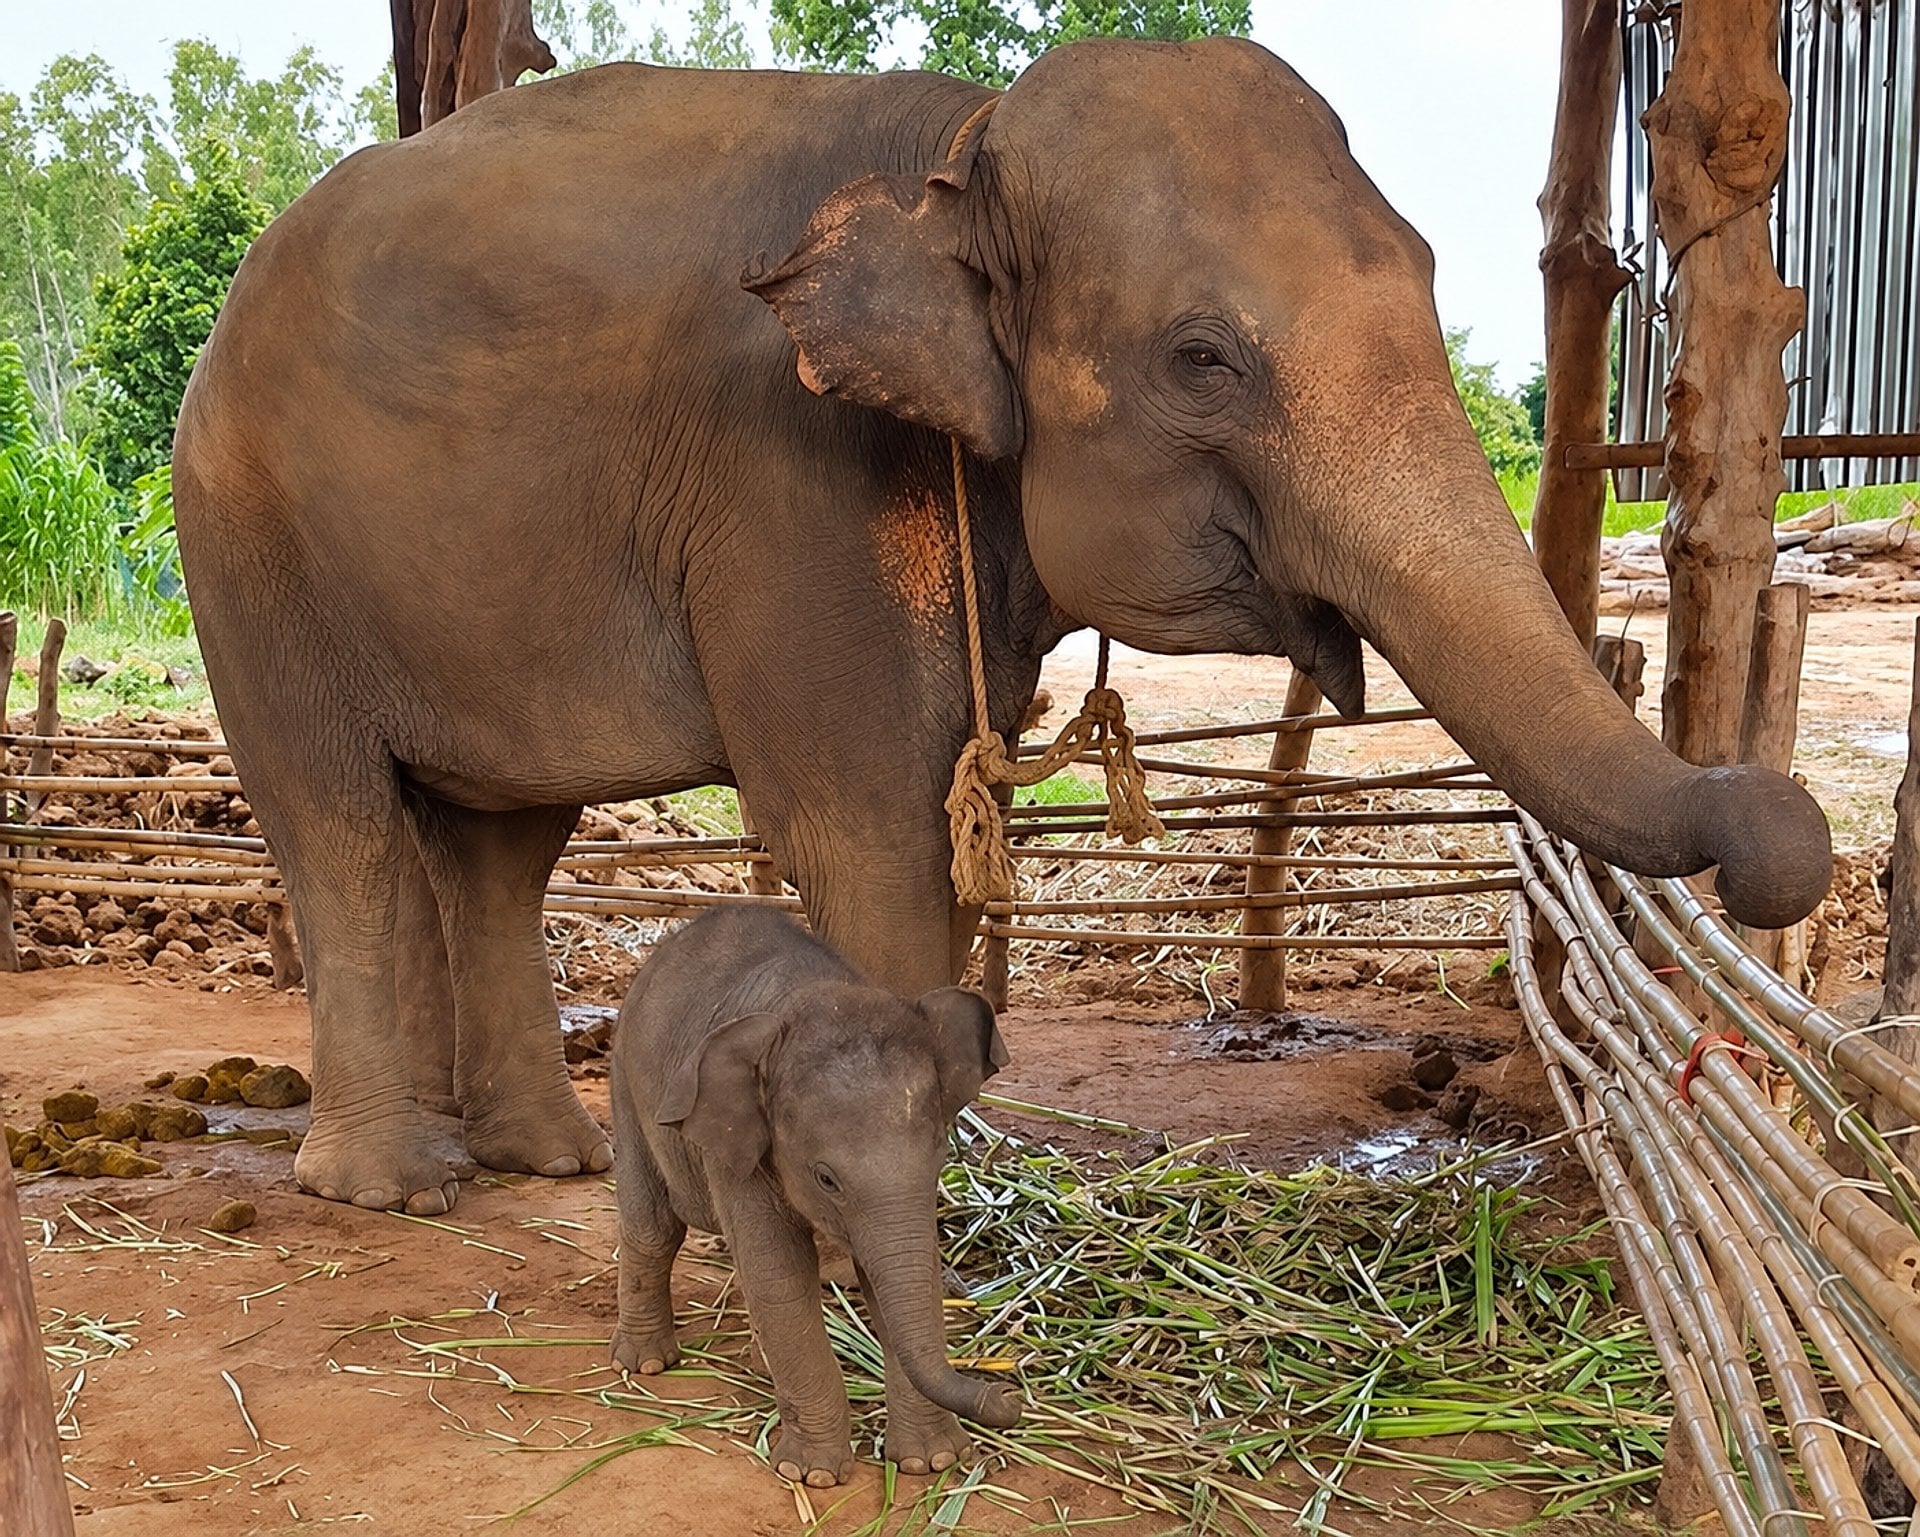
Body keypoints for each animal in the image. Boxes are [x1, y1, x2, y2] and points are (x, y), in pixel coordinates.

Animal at [170, 38, 1832, 1217]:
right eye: (1204, 357)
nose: (1783, 840)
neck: (961, 157)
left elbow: (944, 824)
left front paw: (955, 1179)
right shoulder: (789, 475)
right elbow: (869, 837)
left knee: (502, 847)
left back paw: (552, 1166)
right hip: (243, 545)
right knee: (342, 828)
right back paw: (394, 1192)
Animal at [609, 906, 1019, 1485]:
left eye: (941, 1152)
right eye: (826, 1178)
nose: (1007, 1397)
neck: (815, 994)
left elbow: (887, 1278)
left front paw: (933, 1461)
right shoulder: (738, 1146)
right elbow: (778, 1277)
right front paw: (813, 1476)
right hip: (625, 1081)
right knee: (653, 1227)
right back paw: (644, 1363)